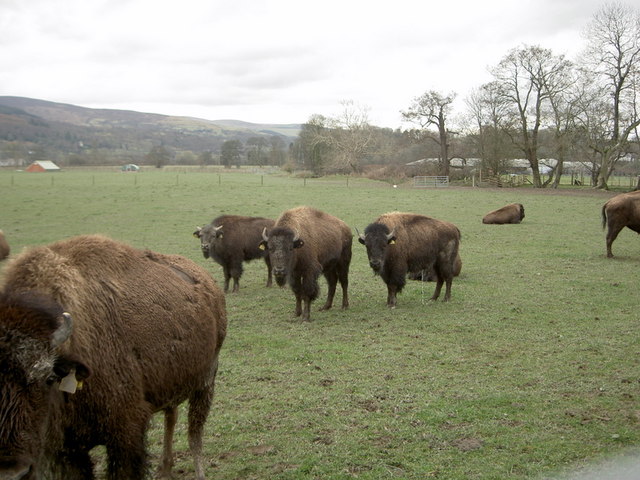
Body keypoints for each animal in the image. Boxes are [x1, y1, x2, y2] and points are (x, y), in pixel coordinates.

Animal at [0, 235, 228, 480]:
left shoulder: (126, 433)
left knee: (195, 431)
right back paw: (165, 468)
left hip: (206, 381)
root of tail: (208, 281)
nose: (12, 473)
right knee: (172, 415)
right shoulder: (67, 451)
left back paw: (198, 471)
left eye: (48, 378)